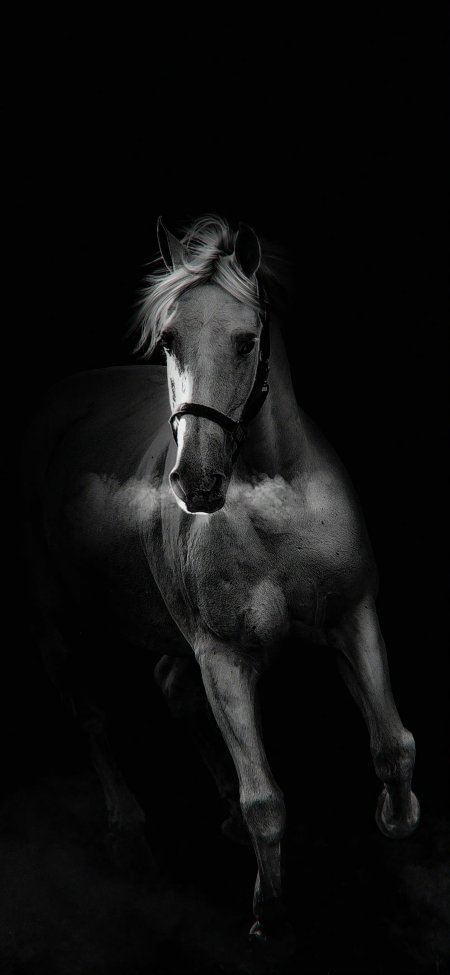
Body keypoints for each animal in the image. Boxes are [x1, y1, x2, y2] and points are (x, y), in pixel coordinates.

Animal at [23, 214, 420, 945]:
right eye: (169, 340)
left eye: (245, 340)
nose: (197, 481)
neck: (270, 494)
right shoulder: (225, 656)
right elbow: (265, 796)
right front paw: (269, 909)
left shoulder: (354, 614)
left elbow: (391, 743)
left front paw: (395, 817)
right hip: (53, 619)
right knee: (91, 713)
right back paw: (128, 831)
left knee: (169, 688)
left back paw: (222, 820)